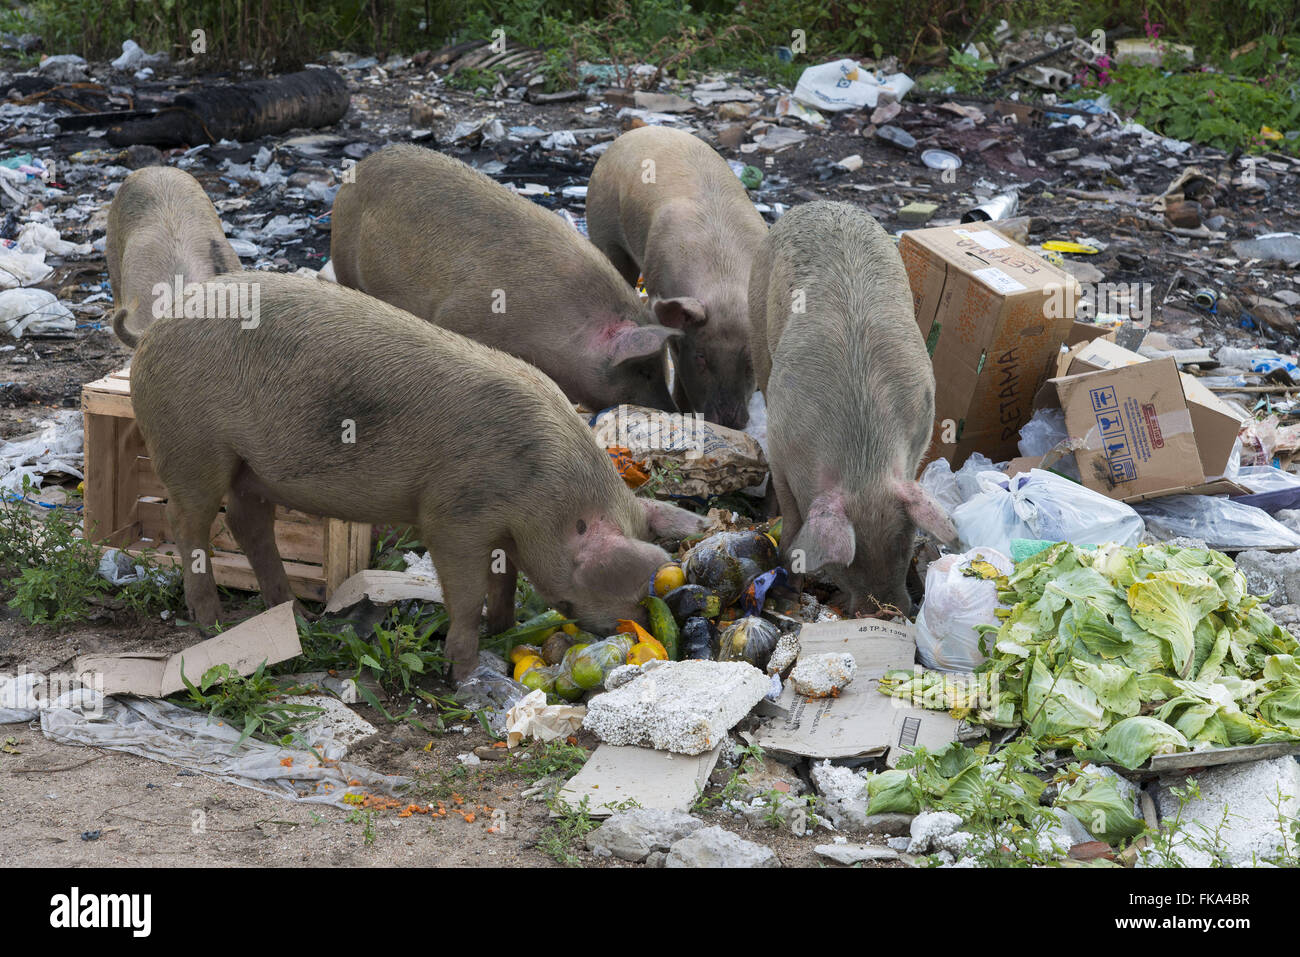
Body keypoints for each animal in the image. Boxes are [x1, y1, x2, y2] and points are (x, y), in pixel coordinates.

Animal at [130, 272, 707, 681]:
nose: (628, 628)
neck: (543, 486)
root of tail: (152, 332)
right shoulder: (454, 514)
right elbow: (467, 590)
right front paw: (463, 671)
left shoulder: (505, 530)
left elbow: (504, 581)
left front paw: (505, 629)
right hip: (192, 443)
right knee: (188, 524)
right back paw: (212, 621)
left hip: (252, 468)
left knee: (248, 523)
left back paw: (294, 616)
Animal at [586, 126, 767, 429]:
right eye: (701, 356)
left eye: (750, 360)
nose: (728, 421)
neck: (724, 285)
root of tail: (640, 130)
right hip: (602, 226)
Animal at [747, 201, 957, 615]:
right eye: (847, 563)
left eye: (905, 543)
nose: (887, 611)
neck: (862, 464)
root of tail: (820, 204)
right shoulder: (779, 448)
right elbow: (792, 520)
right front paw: (787, 593)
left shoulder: (920, 438)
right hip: (756, 316)